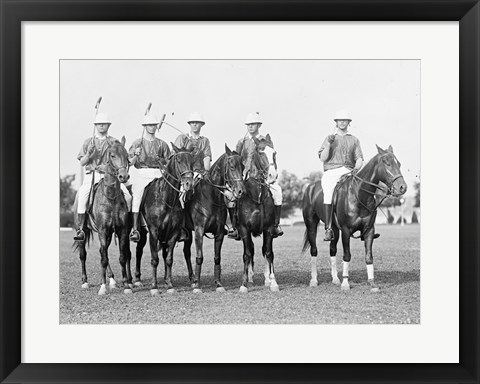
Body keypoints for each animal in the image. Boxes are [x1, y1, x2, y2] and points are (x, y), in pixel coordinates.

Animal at [71, 136, 132, 296]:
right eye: (112, 155)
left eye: (127, 156)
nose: (123, 176)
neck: (111, 198)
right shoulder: (103, 231)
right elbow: (103, 259)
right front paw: (103, 287)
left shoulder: (121, 230)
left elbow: (122, 257)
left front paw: (126, 285)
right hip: (83, 231)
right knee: (83, 254)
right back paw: (85, 282)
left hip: (109, 234)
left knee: (102, 252)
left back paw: (112, 280)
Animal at [134, 145, 194, 296]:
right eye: (179, 160)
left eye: (192, 161)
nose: (189, 183)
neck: (166, 199)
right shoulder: (154, 232)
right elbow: (154, 259)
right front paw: (154, 286)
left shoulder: (172, 233)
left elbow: (169, 259)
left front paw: (170, 284)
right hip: (143, 233)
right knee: (138, 251)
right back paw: (136, 279)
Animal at [182, 146, 246, 292]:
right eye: (232, 166)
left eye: (243, 167)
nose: (241, 191)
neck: (210, 197)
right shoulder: (199, 231)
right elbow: (199, 257)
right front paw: (198, 286)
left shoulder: (219, 233)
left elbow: (217, 258)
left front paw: (218, 283)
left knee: (186, 252)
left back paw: (192, 279)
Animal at [235, 134, 278, 292]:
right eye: (260, 152)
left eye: (274, 153)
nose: (272, 176)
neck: (257, 196)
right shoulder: (244, 230)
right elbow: (247, 254)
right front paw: (243, 284)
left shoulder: (269, 229)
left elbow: (268, 253)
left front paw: (273, 282)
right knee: (250, 251)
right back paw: (250, 278)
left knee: (264, 250)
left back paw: (266, 278)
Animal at [302, 146, 406, 292]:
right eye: (387, 163)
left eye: (399, 164)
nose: (403, 187)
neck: (360, 195)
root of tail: (310, 187)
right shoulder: (346, 230)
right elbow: (347, 255)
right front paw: (346, 283)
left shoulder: (369, 230)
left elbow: (369, 257)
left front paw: (372, 283)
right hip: (311, 224)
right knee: (314, 250)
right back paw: (314, 280)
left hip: (334, 229)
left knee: (332, 249)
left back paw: (335, 279)